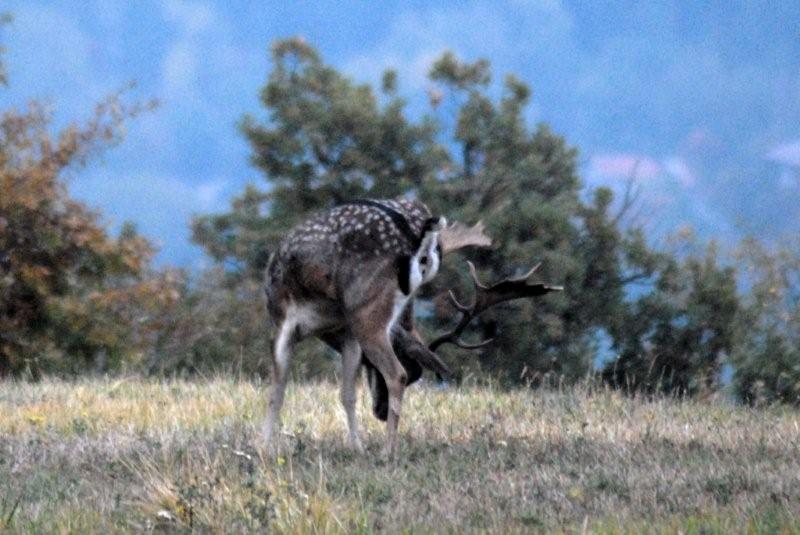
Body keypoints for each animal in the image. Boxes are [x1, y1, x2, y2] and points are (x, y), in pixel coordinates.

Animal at [264, 199, 564, 458]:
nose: (380, 412)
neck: (325, 329)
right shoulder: (348, 335)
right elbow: (347, 394)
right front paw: (356, 447)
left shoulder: (284, 320)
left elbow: (277, 390)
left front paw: (265, 447)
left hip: (366, 311)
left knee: (396, 373)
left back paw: (387, 452)